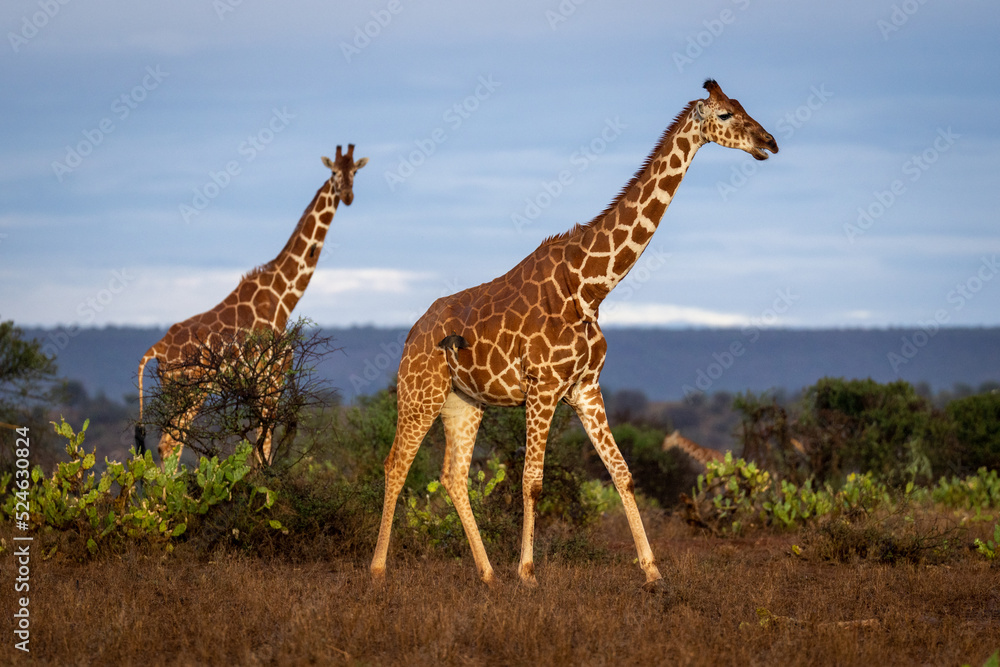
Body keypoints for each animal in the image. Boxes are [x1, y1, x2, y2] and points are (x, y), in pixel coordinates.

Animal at [136, 145, 368, 465]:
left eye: (355, 171)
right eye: (334, 171)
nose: (347, 195)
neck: (284, 295)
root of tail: (156, 350)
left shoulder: (260, 384)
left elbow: (258, 447)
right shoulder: (272, 379)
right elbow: (264, 447)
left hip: (174, 390)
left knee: (168, 443)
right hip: (189, 389)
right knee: (169, 444)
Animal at [371, 80, 777, 588]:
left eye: (743, 106)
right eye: (724, 114)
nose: (769, 143)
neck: (590, 285)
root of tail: (411, 333)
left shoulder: (585, 386)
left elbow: (622, 472)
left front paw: (652, 571)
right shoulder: (543, 387)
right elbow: (532, 481)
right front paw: (527, 573)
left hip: (463, 402)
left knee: (452, 476)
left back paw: (487, 573)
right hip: (419, 392)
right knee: (395, 465)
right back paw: (378, 569)